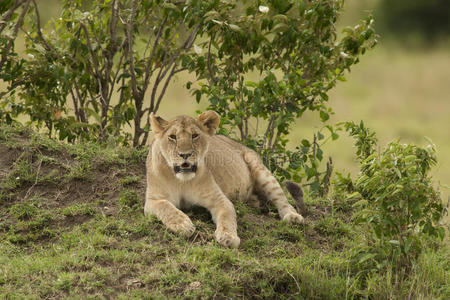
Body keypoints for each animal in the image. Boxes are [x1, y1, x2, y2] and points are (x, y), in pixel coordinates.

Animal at [145, 111, 306, 247]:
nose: (185, 154)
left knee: (282, 199)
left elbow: (226, 217)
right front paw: (183, 225)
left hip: (261, 170)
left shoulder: (220, 200)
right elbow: (166, 206)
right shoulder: (152, 201)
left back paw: (292, 217)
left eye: (194, 135)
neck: (182, 181)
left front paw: (228, 237)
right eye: (172, 137)